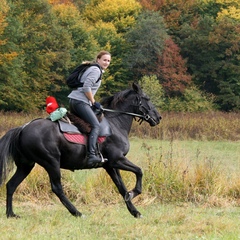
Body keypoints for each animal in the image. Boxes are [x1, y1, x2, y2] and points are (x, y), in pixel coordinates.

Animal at [0, 83, 161, 218]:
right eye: (147, 98)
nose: (158, 117)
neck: (115, 124)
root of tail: (22, 128)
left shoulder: (110, 165)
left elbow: (121, 187)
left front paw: (135, 211)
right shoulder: (117, 160)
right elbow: (139, 171)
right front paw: (134, 193)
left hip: (26, 165)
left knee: (11, 185)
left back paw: (11, 214)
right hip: (51, 162)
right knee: (57, 188)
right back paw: (77, 212)